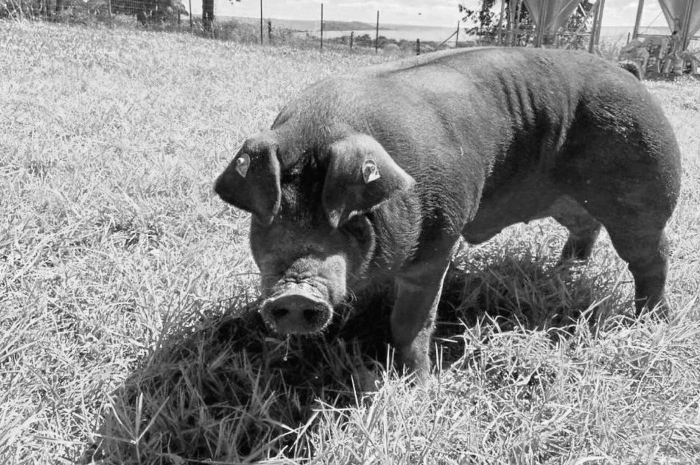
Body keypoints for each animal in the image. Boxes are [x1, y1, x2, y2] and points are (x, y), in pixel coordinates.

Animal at [215, 47, 682, 381]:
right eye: (270, 217)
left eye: (349, 221)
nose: (294, 294)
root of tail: (628, 71)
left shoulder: (435, 243)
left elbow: (410, 322)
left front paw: (418, 387)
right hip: (574, 200)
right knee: (586, 228)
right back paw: (566, 270)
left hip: (644, 189)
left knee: (653, 257)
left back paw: (650, 319)